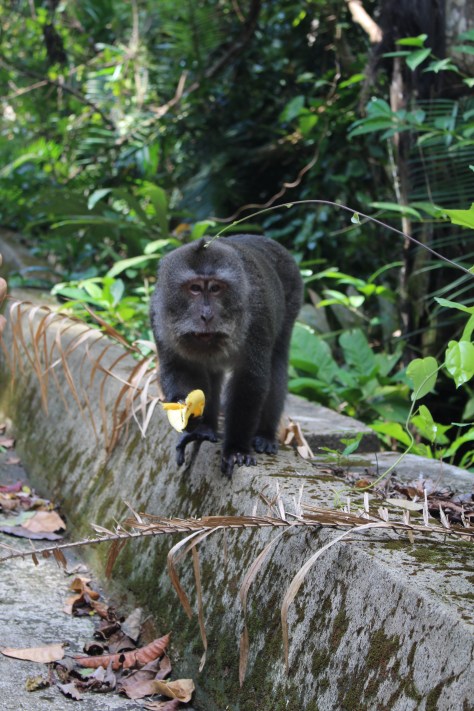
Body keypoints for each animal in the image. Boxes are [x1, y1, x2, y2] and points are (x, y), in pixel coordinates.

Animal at [150, 234, 303, 477]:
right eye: (195, 288)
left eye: (215, 288)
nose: (206, 315)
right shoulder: (157, 313)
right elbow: (178, 368)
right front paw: (190, 417)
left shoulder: (256, 316)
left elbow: (249, 381)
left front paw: (236, 448)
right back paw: (206, 429)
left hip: (293, 297)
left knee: (277, 361)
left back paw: (265, 435)